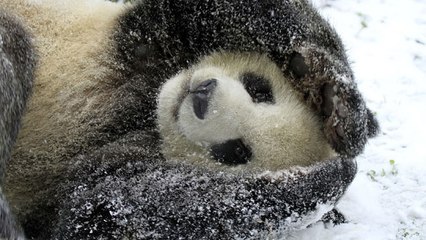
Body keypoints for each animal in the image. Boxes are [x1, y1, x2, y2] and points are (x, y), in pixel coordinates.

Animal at [0, 0, 380, 239]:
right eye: (259, 90)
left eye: (236, 151)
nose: (201, 97)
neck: (145, 106)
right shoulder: (149, 39)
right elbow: (230, 10)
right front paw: (334, 98)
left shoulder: (100, 164)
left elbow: (107, 210)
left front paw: (326, 180)